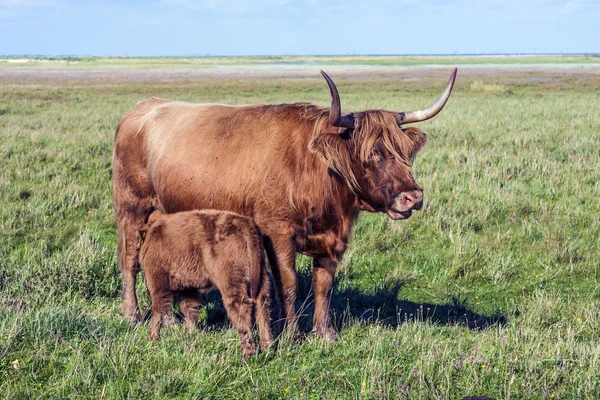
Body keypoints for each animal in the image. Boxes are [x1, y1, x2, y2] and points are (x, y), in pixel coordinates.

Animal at [112, 68, 458, 340]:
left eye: (404, 151)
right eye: (372, 153)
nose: (413, 196)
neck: (316, 168)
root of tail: (144, 108)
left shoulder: (333, 238)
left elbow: (323, 284)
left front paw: (325, 332)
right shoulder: (277, 233)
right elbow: (289, 283)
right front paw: (292, 333)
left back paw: (169, 319)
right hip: (132, 207)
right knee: (129, 260)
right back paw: (132, 315)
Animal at [138, 208, 272, 358]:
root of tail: (246, 224)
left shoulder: (157, 282)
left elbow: (158, 309)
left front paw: (152, 337)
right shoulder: (188, 287)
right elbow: (189, 308)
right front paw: (190, 334)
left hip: (231, 281)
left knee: (240, 307)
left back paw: (247, 354)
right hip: (261, 276)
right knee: (262, 305)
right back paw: (268, 348)